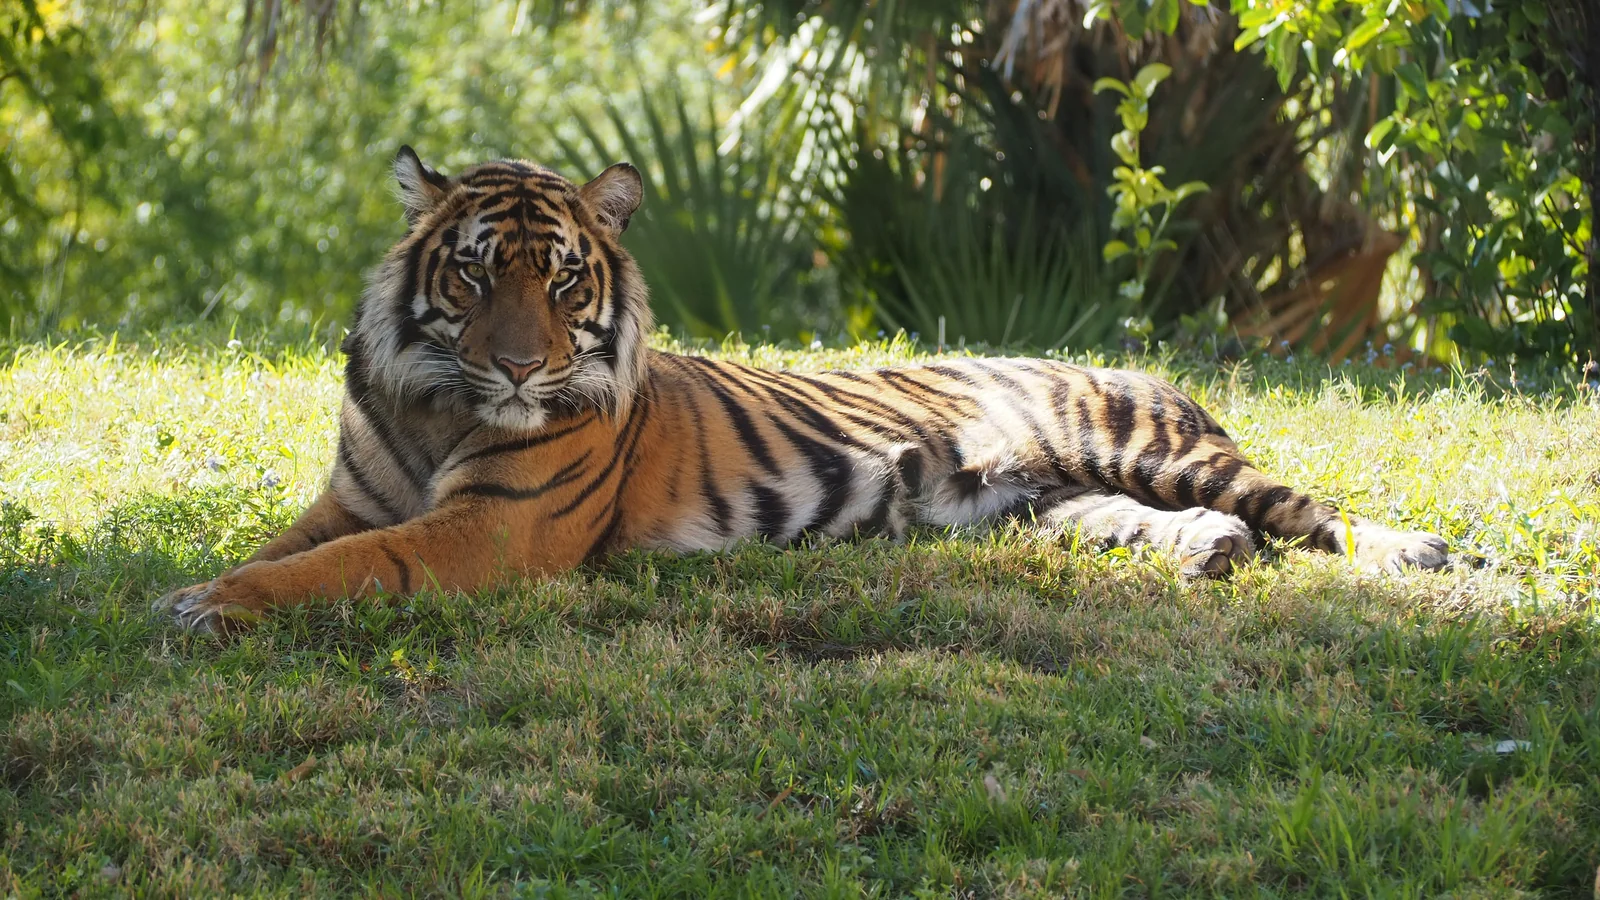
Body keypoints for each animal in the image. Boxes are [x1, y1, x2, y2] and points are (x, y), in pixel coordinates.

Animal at [155, 147, 1449, 632]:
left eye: (562, 279)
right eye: (474, 274)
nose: (520, 364)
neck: (438, 401)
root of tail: (1127, 360)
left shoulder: (493, 529)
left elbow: (343, 567)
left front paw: (207, 604)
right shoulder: (358, 495)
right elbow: (297, 544)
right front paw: (188, 585)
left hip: (1150, 445)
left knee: (1307, 509)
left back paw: (1422, 555)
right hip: (1047, 500)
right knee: (1186, 524)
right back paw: (1208, 555)